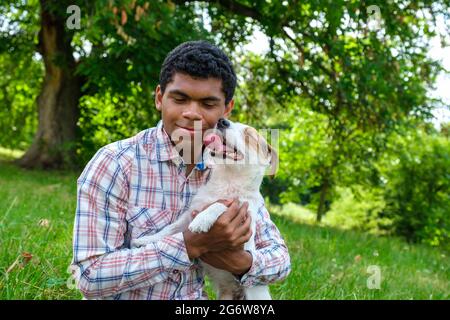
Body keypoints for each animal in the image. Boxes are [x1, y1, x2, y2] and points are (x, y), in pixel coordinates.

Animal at [132, 120, 276, 300]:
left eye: (249, 135)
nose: (222, 121)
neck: (228, 181)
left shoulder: (242, 213)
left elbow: (219, 204)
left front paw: (202, 220)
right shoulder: (188, 215)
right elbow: (169, 230)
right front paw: (146, 240)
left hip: (255, 294)